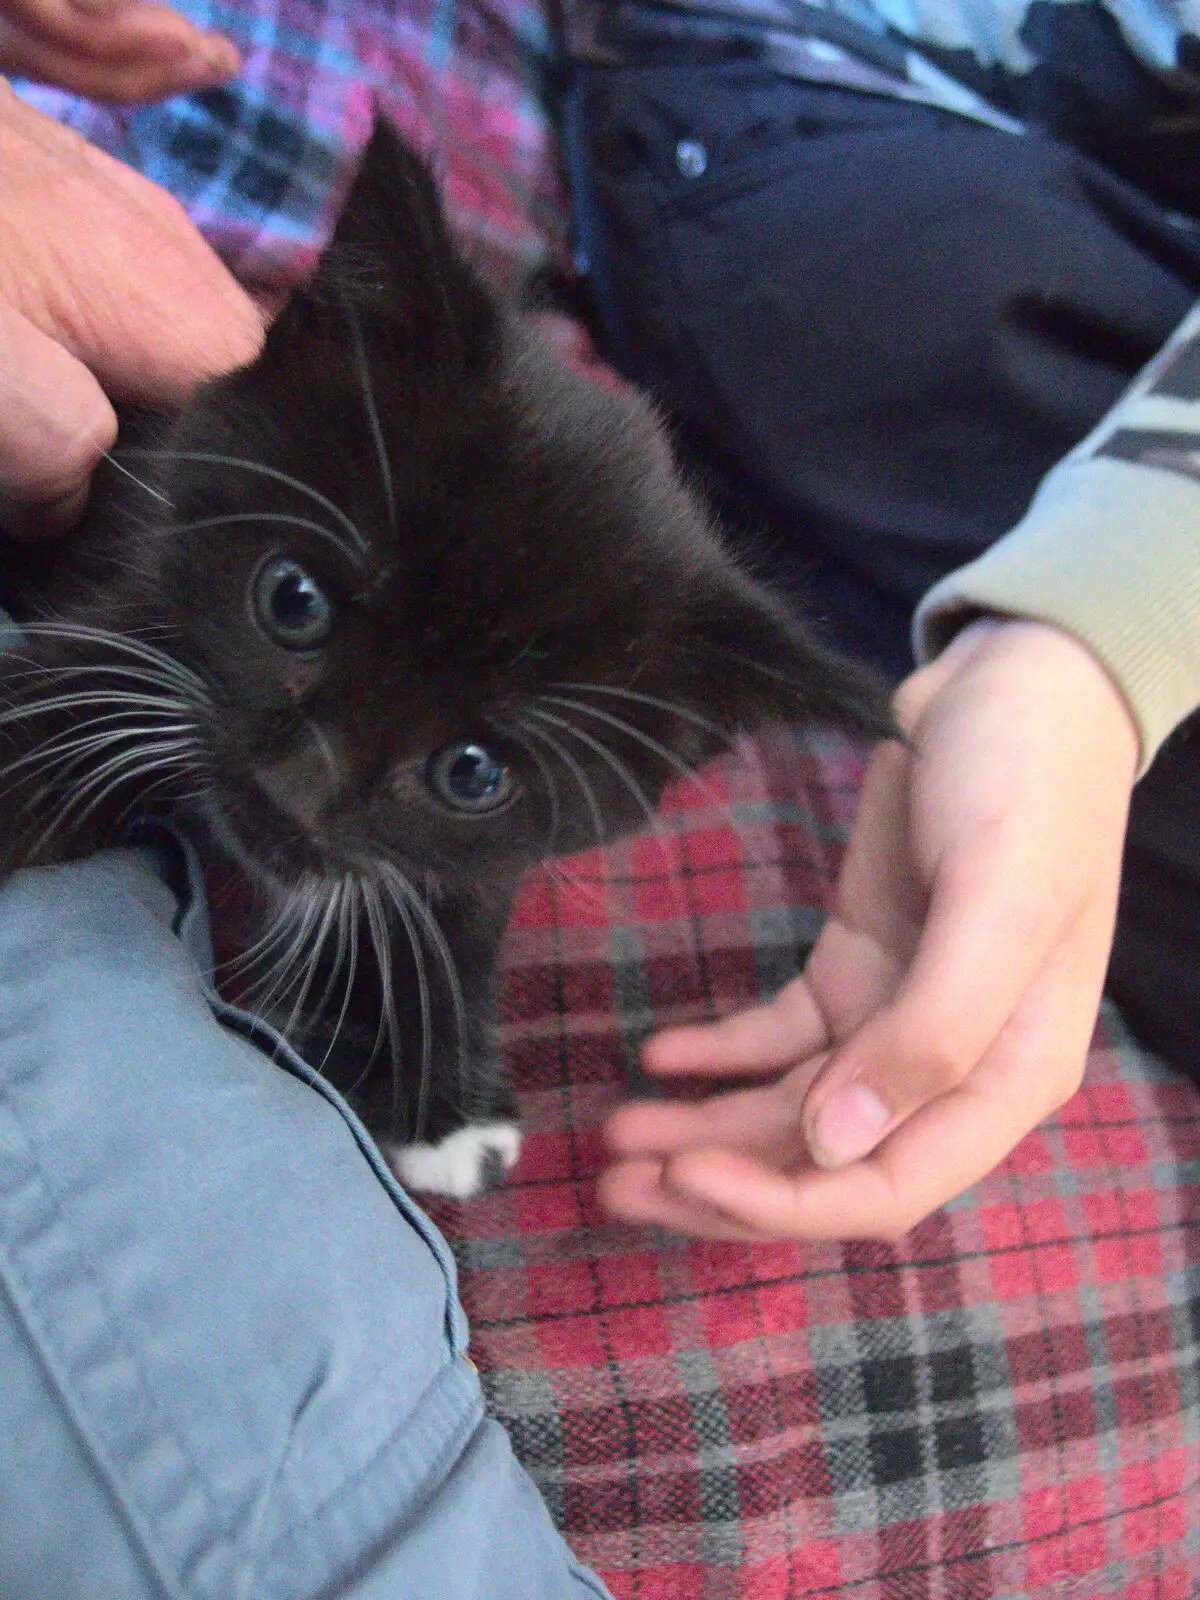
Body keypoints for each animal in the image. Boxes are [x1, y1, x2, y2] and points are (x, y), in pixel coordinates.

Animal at [0, 124, 883, 1196]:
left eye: (473, 771)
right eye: (293, 600)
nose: (294, 788)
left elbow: (440, 890)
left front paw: (438, 1095)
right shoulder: (134, 594)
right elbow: (53, 714)